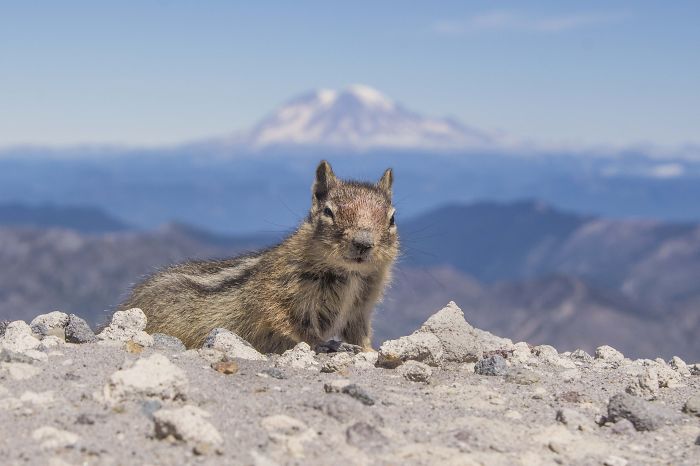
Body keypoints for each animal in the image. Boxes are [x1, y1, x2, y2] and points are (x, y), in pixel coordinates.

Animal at [118, 160, 399, 353]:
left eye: (392, 218)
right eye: (329, 212)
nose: (363, 242)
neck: (351, 274)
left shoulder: (360, 309)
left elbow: (359, 333)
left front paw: (369, 350)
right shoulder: (277, 294)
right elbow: (292, 324)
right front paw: (324, 344)